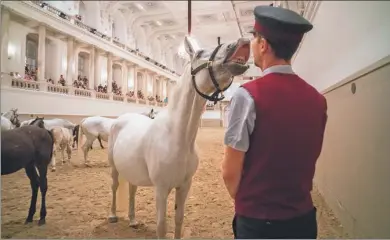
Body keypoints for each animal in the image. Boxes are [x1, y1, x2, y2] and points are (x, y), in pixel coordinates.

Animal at [106, 36, 250, 238]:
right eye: (199, 53)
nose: (240, 42)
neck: (177, 137)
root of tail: (121, 119)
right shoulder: (161, 188)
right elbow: (161, 226)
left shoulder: (184, 185)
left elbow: (179, 219)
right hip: (114, 168)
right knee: (114, 186)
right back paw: (112, 216)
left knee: (132, 190)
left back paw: (133, 220)